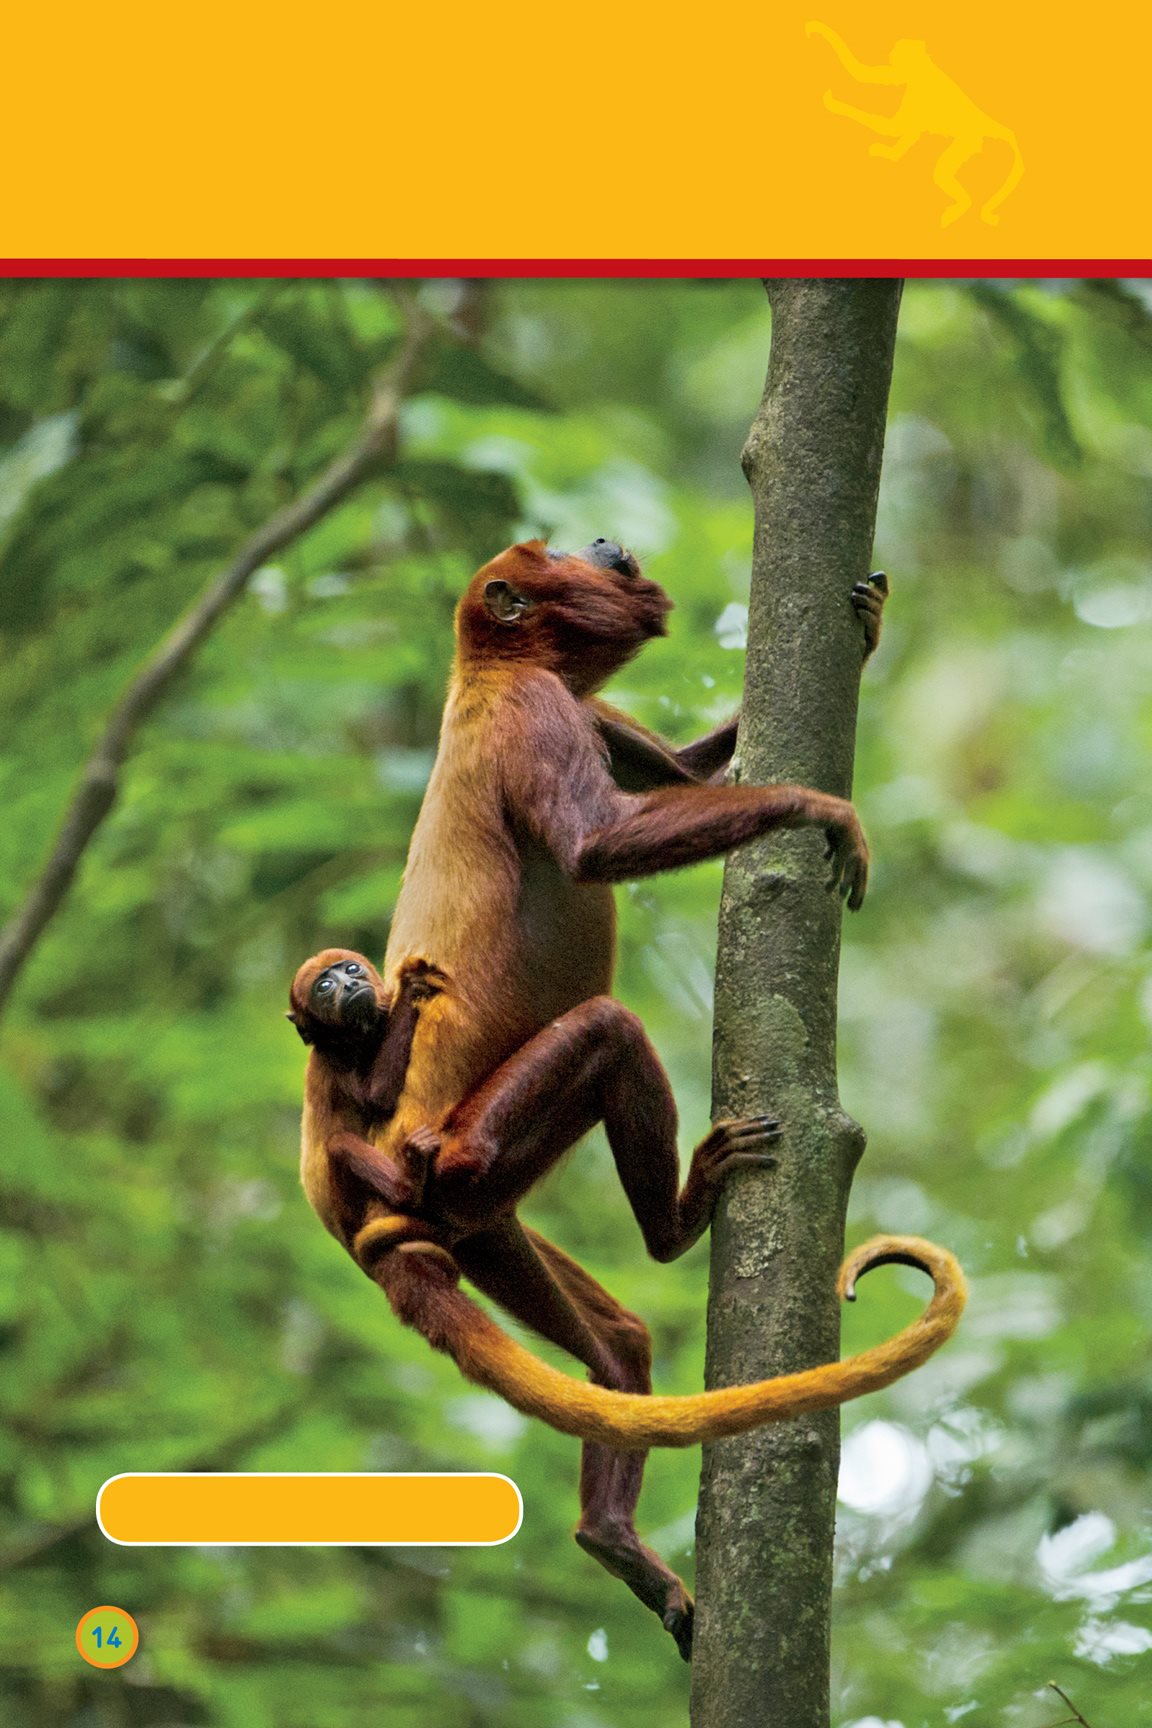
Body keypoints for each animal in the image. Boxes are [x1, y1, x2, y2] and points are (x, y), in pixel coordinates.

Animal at [293, 539, 960, 1658]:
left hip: (490, 1236)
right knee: (607, 1034)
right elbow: (597, 844)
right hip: (467, 1148)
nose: (604, 544)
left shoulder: (581, 708)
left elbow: (689, 778)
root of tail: (371, 1202)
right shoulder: (534, 710)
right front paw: (815, 809)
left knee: (618, 1341)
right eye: (554, 554)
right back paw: (672, 1222)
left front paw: (866, 627)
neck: (487, 668)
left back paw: (609, 1530)